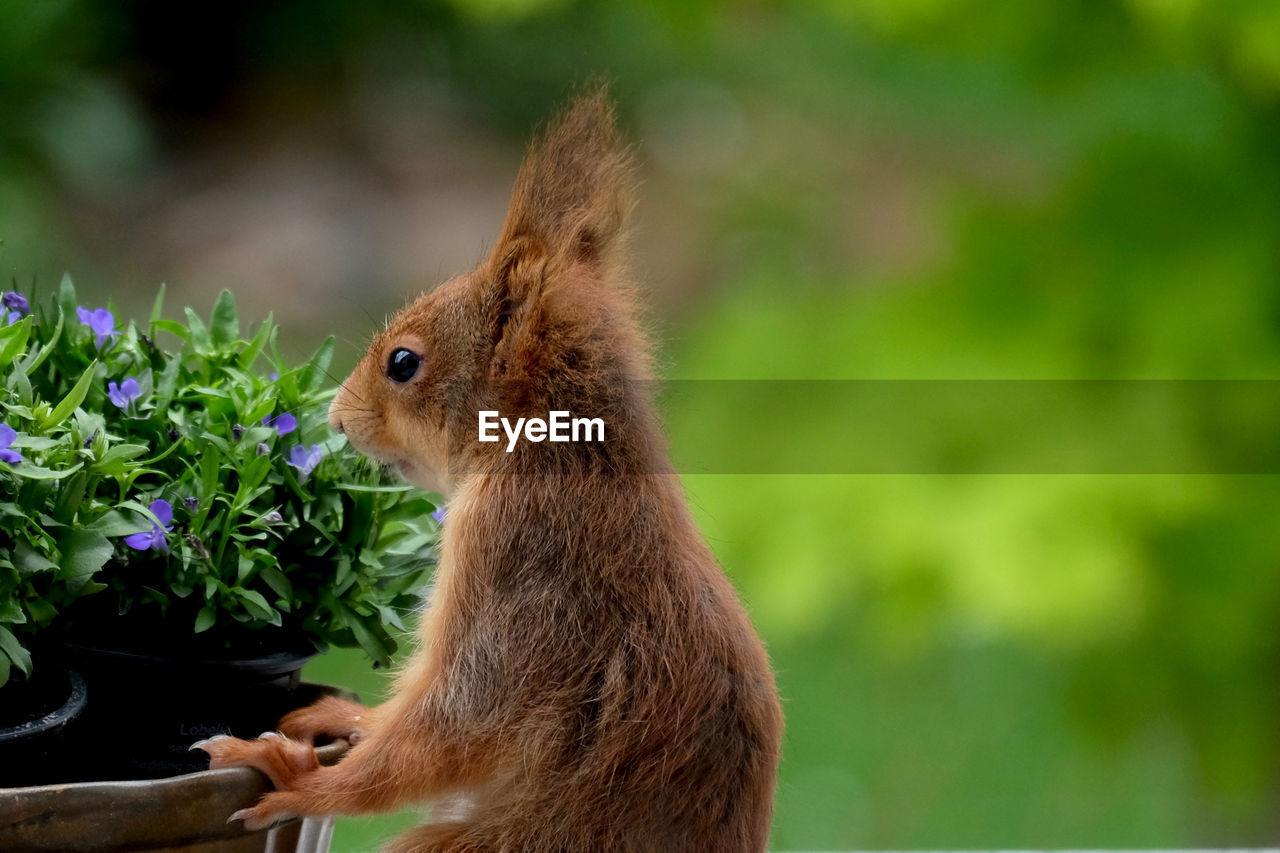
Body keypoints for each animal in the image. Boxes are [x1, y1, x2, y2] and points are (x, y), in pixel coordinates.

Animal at [197, 86, 778, 850]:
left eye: (403, 363)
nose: (337, 419)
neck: (559, 454)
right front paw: (344, 719)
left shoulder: (515, 560)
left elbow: (458, 720)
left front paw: (299, 782)